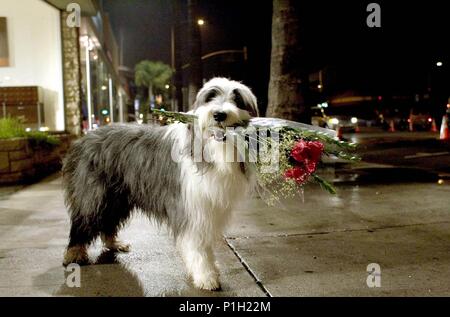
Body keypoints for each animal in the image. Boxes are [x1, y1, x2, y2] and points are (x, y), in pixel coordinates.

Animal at [63, 76, 260, 288]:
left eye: (237, 100)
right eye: (210, 97)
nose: (219, 114)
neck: (212, 150)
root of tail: (83, 139)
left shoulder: (209, 207)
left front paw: (210, 270)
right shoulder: (190, 208)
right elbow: (197, 245)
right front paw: (206, 275)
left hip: (118, 195)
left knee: (108, 221)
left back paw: (114, 243)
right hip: (94, 193)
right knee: (84, 220)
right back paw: (74, 253)